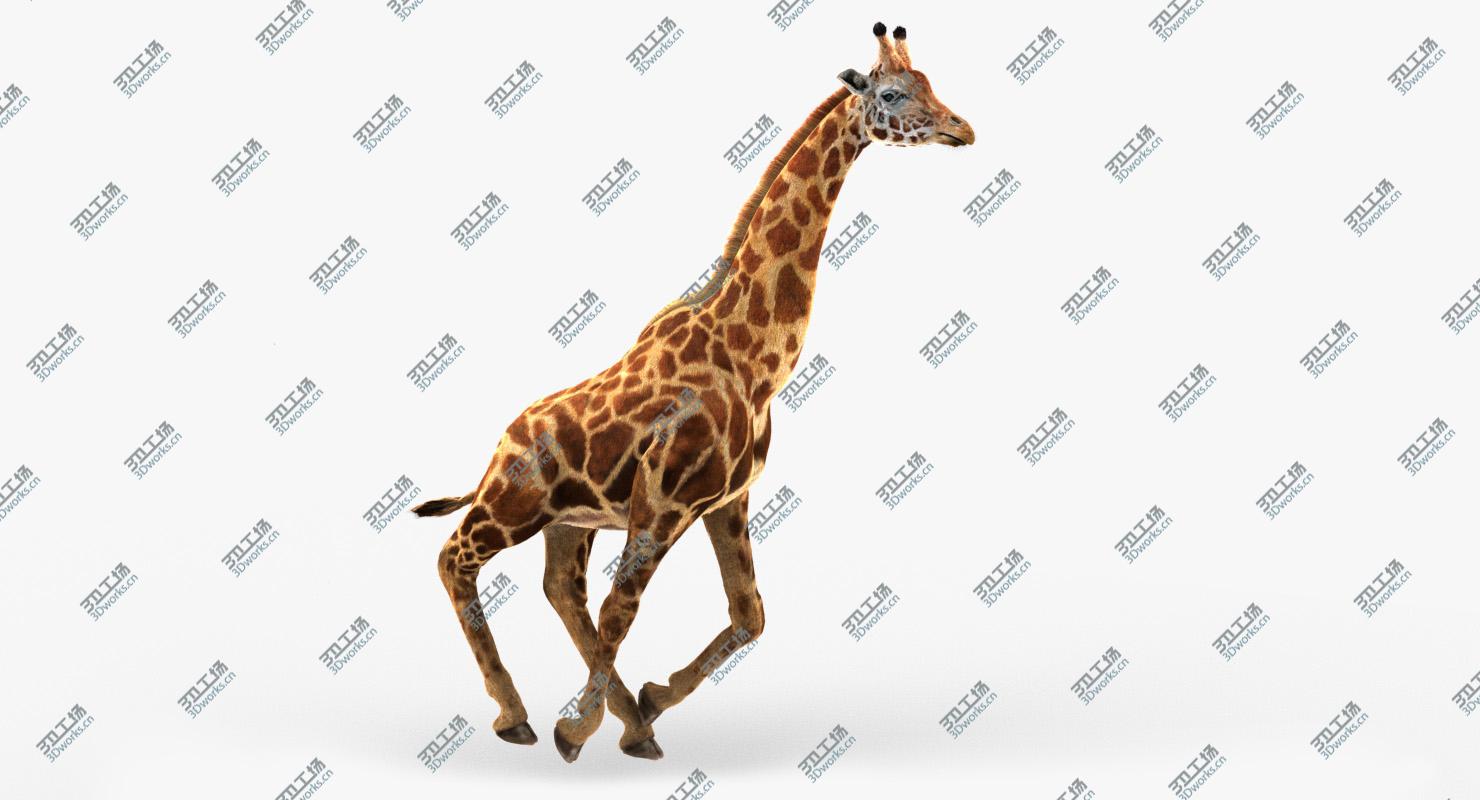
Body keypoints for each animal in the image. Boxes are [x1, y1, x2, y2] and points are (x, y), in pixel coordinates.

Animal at [412, 21, 973, 762]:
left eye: (931, 84)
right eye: (891, 94)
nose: (963, 129)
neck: (754, 359)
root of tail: (497, 447)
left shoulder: (725, 499)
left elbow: (749, 614)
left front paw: (645, 706)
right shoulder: (665, 502)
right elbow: (625, 609)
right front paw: (577, 730)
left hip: (568, 521)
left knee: (561, 590)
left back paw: (624, 719)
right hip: (514, 505)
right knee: (455, 561)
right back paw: (517, 716)